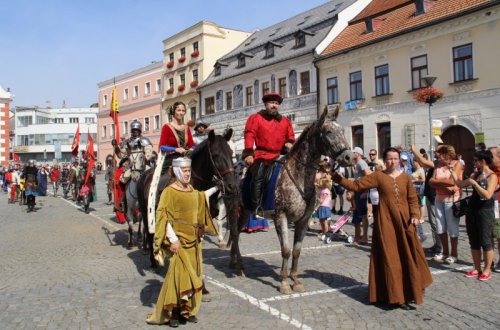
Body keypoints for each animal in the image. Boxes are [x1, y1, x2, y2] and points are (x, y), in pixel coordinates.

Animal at [229, 105, 354, 294]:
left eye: (342, 130)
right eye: (328, 131)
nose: (349, 157)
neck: (298, 176)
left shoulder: (303, 220)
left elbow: (296, 251)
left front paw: (295, 279)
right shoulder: (281, 218)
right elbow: (286, 250)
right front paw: (284, 283)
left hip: (245, 211)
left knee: (235, 232)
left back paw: (233, 261)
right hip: (238, 207)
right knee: (235, 234)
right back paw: (240, 267)